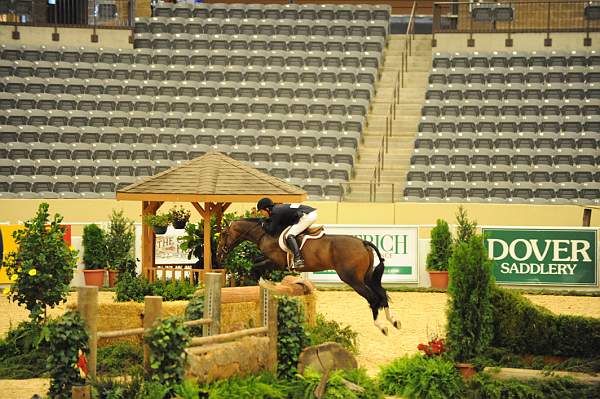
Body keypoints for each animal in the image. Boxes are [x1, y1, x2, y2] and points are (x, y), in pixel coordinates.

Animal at [213, 219, 400, 334]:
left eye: (224, 234)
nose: (218, 255)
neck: (265, 233)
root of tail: (363, 242)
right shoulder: (271, 261)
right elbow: (257, 262)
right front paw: (265, 282)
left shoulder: (276, 262)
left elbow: (255, 265)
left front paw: (263, 282)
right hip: (366, 277)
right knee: (382, 295)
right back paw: (393, 321)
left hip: (352, 279)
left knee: (373, 298)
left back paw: (381, 326)